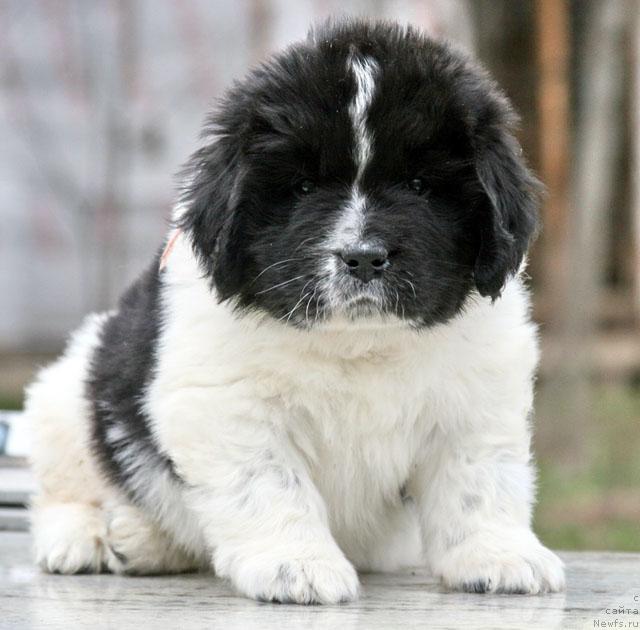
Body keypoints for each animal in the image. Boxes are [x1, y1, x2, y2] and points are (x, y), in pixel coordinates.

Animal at [25, 18, 564, 604]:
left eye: (420, 186)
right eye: (303, 187)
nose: (363, 257)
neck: (360, 342)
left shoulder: (478, 397)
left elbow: (480, 481)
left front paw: (500, 556)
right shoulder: (227, 403)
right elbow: (269, 483)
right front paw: (296, 566)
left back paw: (141, 543)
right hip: (70, 395)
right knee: (69, 485)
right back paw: (95, 536)